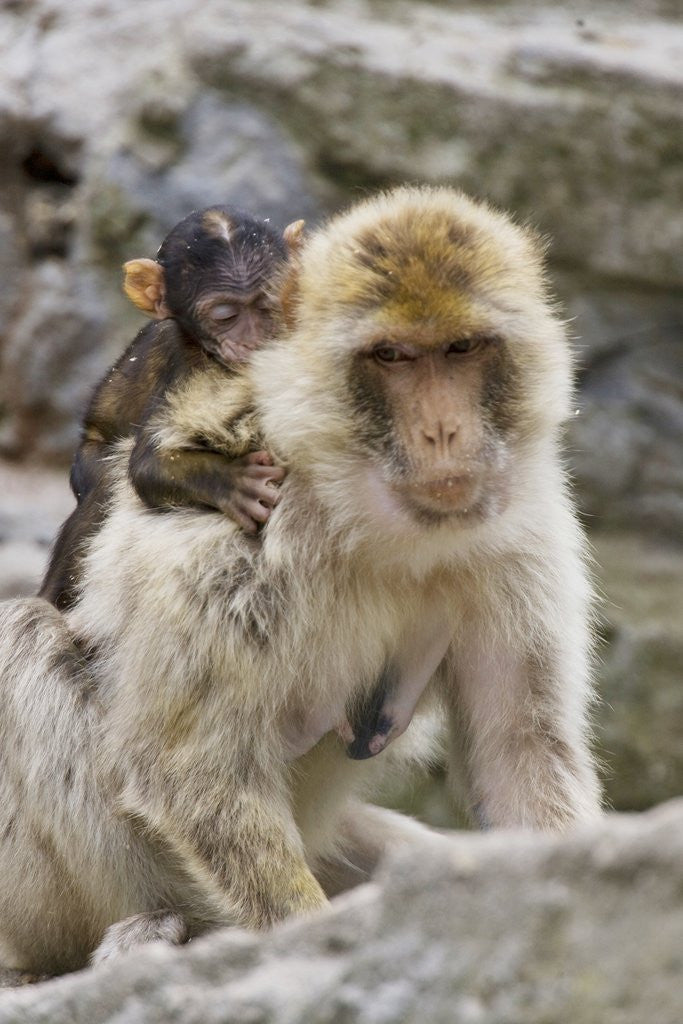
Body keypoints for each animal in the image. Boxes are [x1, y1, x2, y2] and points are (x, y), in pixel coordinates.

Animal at [38, 206, 304, 611]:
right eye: (225, 316)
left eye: (266, 305)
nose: (251, 341)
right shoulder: (182, 366)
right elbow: (149, 464)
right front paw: (235, 482)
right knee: (107, 484)